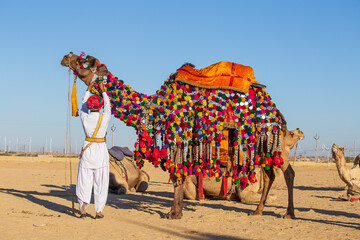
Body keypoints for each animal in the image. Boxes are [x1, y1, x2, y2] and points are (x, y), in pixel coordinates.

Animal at [62, 52, 296, 219]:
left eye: (83, 60)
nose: (66, 57)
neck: (156, 107)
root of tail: (276, 111)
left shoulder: (178, 135)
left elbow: (176, 175)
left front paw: (173, 214)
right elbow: (179, 175)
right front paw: (177, 211)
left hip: (269, 135)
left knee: (287, 172)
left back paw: (288, 213)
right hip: (261, 142)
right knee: (270, 174)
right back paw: (258, 211)